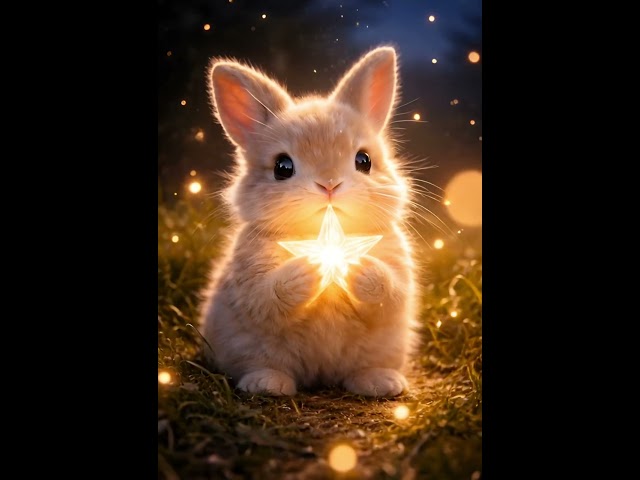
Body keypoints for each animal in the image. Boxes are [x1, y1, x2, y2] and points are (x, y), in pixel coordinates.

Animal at [200, 46, 419, 397]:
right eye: (282, 167)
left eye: (364, 160)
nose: (329, 185)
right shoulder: (249, 282)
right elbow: (268, 297)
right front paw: (307, 271)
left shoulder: (398, 267)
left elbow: (390, 290)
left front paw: (359, 269)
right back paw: (266, 384)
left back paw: (381, 382)